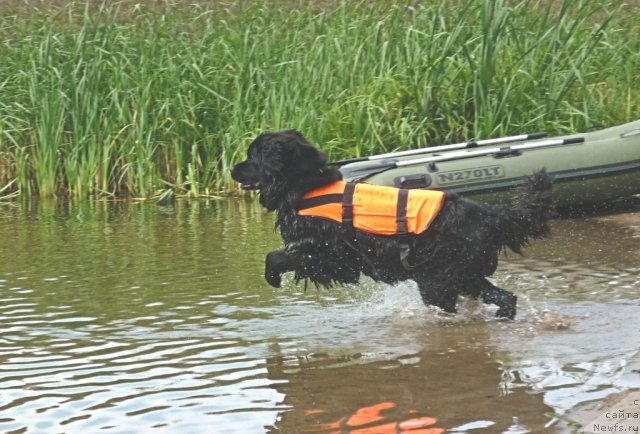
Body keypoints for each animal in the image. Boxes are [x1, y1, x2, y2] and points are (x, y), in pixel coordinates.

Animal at [232, 130, 552, 318]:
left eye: (252, 156)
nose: (233, 168)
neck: (306, 186)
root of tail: (491, 214)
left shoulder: (324, 254)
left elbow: (276, 255)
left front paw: (273, 277)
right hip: (465, 275)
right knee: (506, 297)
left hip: (438, 279)